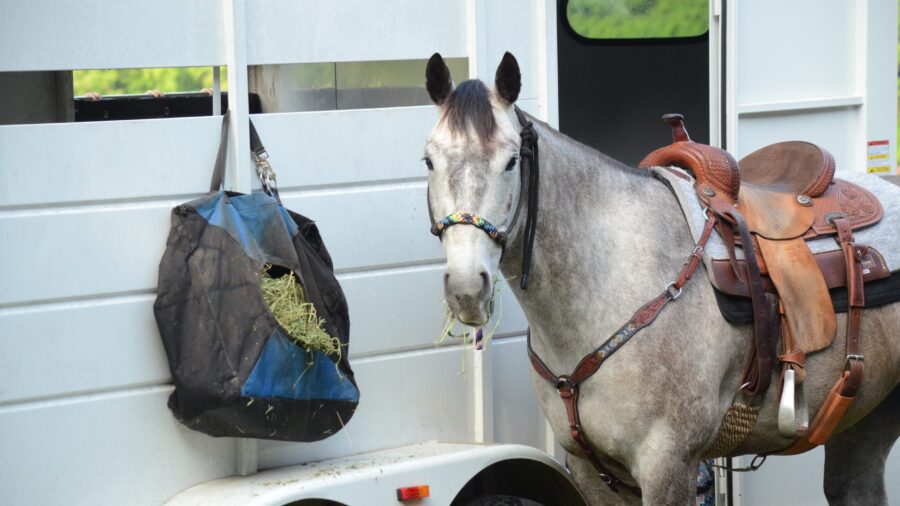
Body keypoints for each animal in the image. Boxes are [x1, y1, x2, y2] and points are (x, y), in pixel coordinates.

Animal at [421, 52, 900, 505]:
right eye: (429, 160)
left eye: (510, 162)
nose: (466, 288)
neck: (610, 279)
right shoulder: (592, 470)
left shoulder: (668, 464)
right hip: (865, 419)